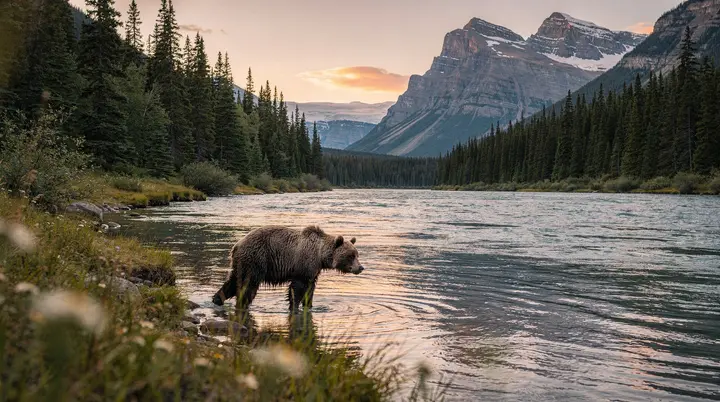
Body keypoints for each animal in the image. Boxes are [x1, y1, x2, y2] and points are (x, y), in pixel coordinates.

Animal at [212, 225, 364, 311]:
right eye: (351, 255)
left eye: (357, 254)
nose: (361, 267)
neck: (320, 255)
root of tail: (236, 245)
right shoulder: (303, 265)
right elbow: (297, 288)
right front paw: (294, 306)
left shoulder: (313, 271)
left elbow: (310, 289)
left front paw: (309, 305)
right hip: (255, 260)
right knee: (248, 286)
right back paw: (242, 304)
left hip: (240, 264)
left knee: (232, 282)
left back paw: (217, 299)